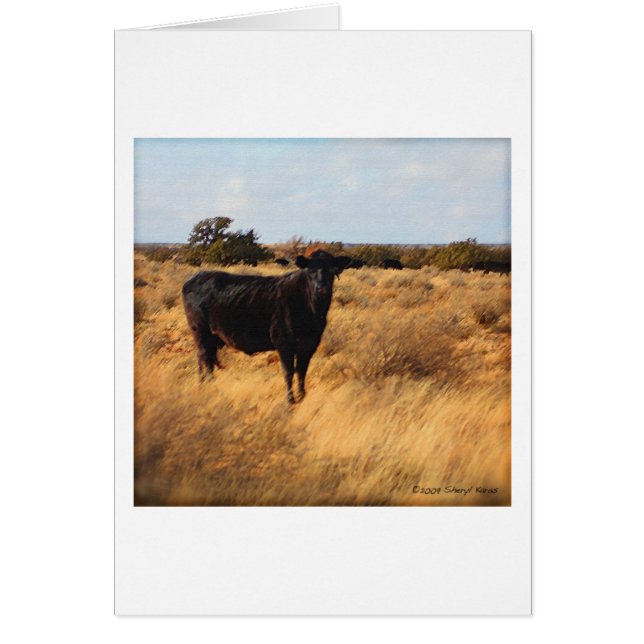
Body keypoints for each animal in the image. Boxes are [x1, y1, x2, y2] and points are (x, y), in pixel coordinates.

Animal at [182, 250, 351, 404]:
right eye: (310, 271)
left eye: (332, 270)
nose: (321, 289)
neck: (312, 311)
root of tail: (194, 278)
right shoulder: (283, 343)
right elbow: (289, 372)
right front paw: (290, 401)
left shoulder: (309, 345)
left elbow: (302, 371)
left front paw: (302, 396)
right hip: (200, 331)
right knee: (205, 358)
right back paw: (209, 386)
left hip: (212, 337)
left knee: (204, 359)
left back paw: (204, 384)